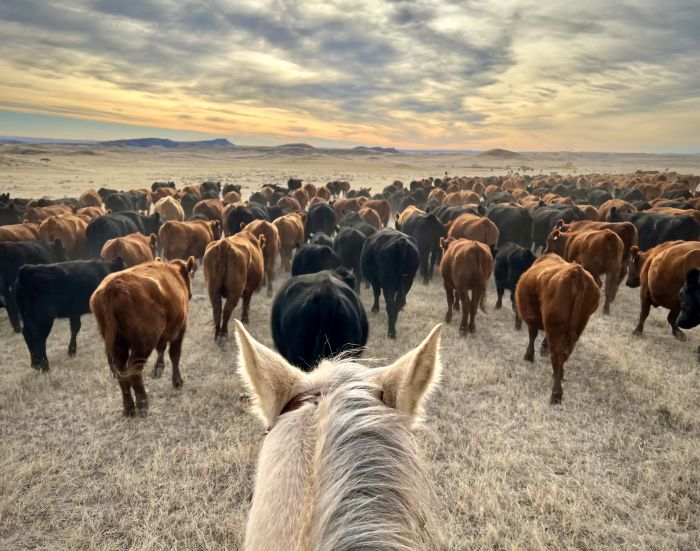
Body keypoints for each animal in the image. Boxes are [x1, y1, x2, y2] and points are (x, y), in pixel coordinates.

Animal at [89, 258, 197, 418]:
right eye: (189, 275)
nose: (190, 294)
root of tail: (112, 287)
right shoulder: (180, 329)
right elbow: (174, 355)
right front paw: (177, 381)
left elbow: (161, 348)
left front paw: (158, 369)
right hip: (143, 345)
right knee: (134, 371)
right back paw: (142, 404)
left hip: (118, 345)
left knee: (123, 373)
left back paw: (129, 408)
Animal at [516, 256, 600, 406]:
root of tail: (577, 273)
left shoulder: (533, 318)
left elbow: (532, 335)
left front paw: (529, 356)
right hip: (579, 324)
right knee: (565, 353)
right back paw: (559, 376)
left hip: (554, 323)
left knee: (557, 355)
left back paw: (556, 394)